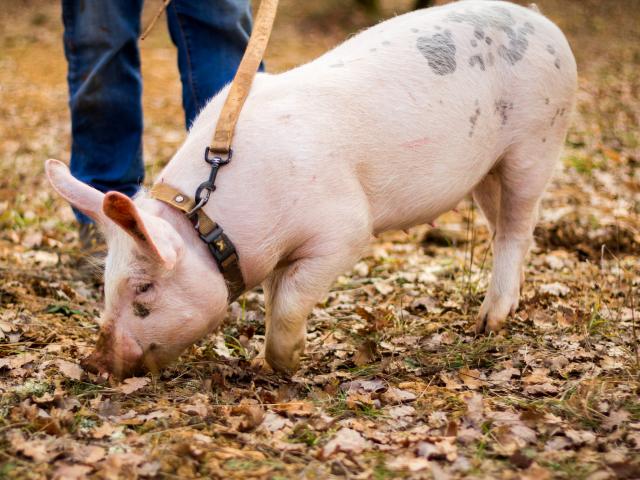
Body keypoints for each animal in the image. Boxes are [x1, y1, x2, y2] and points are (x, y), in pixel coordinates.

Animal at [43, 1, 576, 380]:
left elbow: (291, 299)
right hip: (487, 172)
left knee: (518, 227)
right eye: (107, 283)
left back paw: (489, 324)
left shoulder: (343, 231)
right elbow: (277, 295)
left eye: (144, 290)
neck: (208, 220)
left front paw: (289, 362)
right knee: (503, 228)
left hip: (536, 143)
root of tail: (540, 21)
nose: (92, 363)